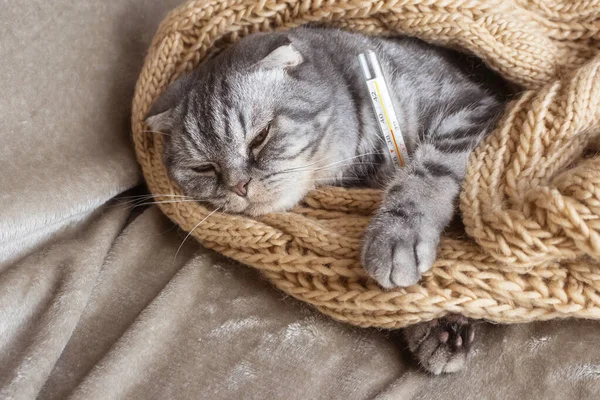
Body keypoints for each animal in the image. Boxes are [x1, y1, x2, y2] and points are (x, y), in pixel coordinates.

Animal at [145, 26, 510, 374]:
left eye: (260, 137)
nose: (238, 186)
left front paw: (397, 238)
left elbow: (427, 173)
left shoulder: (465, 107)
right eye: (204, 167)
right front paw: (434, 326)